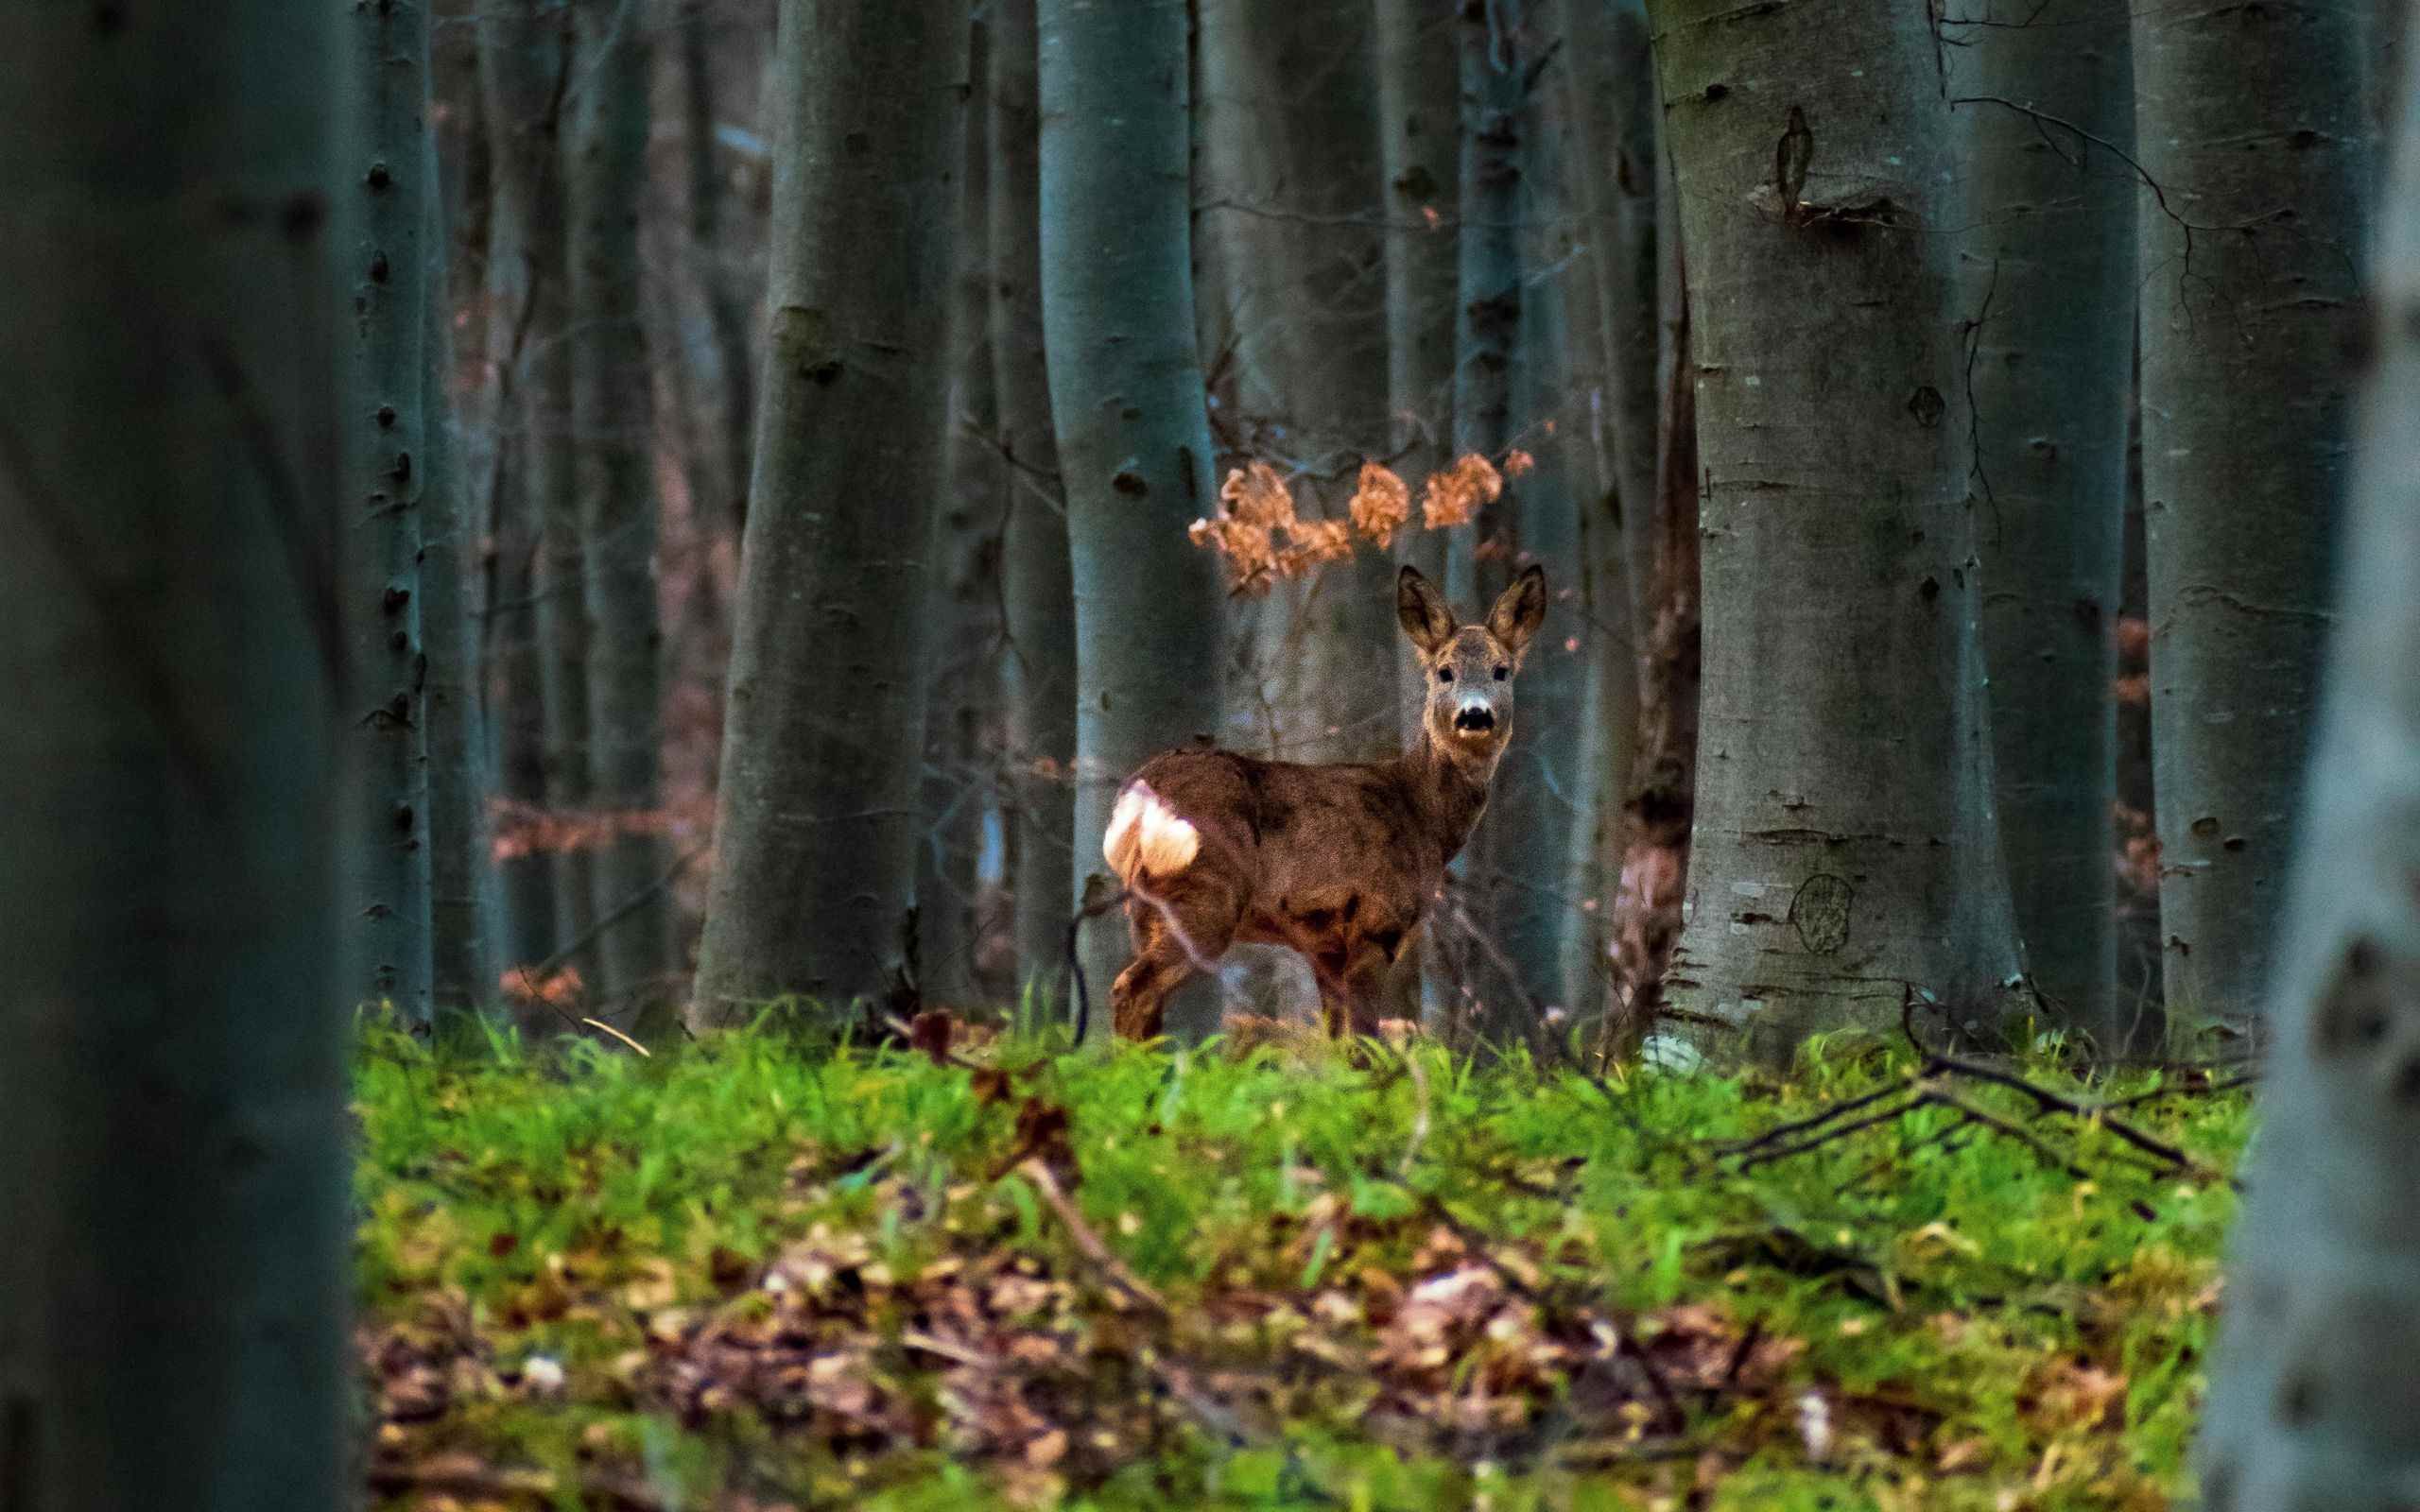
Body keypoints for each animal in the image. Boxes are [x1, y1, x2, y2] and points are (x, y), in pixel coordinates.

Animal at [1103, 560, 1548, 1044]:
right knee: (1132, 989)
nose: (1475, 714)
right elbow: (1365, 1042)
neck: (1422, 816)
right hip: (1204, 891)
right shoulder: (1375, 925)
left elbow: (1338, 1043)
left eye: (1501, 671)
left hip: (1144, 908)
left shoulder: (1325, 946)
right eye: (1445, 671)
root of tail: (1136, 797)